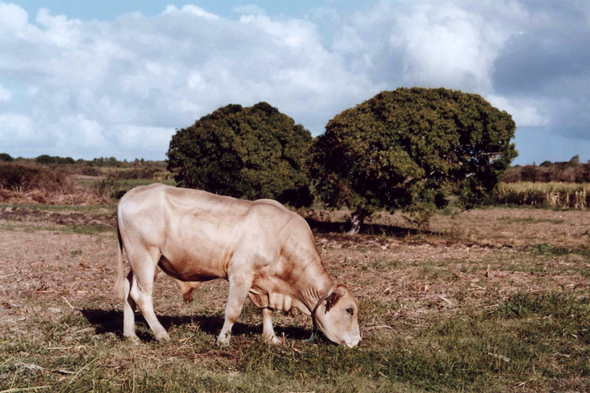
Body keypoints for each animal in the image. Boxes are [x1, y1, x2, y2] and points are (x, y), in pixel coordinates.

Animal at [111, 184, 360, 346]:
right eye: (349, 310)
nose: (357, 341)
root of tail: (131, 193)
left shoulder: (263, 282)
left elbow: (266, 310)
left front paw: (271, 338)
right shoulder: (240, 275)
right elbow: (233, 311)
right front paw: (223, 340)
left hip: (140, 261)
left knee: (128, 291)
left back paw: (131, 335)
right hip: (145, 256)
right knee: (141, 296)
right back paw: (162, 335)